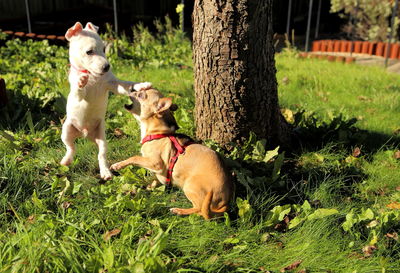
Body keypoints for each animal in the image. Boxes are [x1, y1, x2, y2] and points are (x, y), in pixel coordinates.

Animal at [60, 22, 151, 180]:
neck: (93, 76)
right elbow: (79, 91)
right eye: (89, 52)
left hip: (102, 137)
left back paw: (106, 172)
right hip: (66, 129)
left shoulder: (113, 84)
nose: (107, 67)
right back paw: (67, 160)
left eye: (103, 49)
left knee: (101, 154)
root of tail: (85, 134)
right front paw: (81, 81)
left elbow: (127, 85)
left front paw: (141, 85)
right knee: (70, 147)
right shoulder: (78, 97)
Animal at [111, 89, 233, 219]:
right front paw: (150, 187)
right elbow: (155, 179)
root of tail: (225, 204)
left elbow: (135, 157)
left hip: (190, 186)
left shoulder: (155, 163)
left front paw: (117, 165)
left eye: (141, 95)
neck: (158, 132)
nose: (132, 90)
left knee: (200, 210)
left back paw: (179, 211)